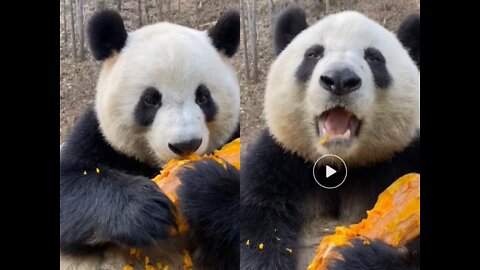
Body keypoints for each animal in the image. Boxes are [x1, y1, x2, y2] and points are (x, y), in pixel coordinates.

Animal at [60, 8, 240, 270]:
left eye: (203, 97)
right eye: (150, 100)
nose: (185, 144)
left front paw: (201, 186)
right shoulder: (100, 139)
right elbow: (71, 182)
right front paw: (145, 209)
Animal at [240, 4, 420, 270]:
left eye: (375, 58)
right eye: (313, 54)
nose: (339, 80)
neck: (340, 164)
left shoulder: (404, 159)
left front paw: (355, 257)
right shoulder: (280, 165)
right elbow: (257, 228)